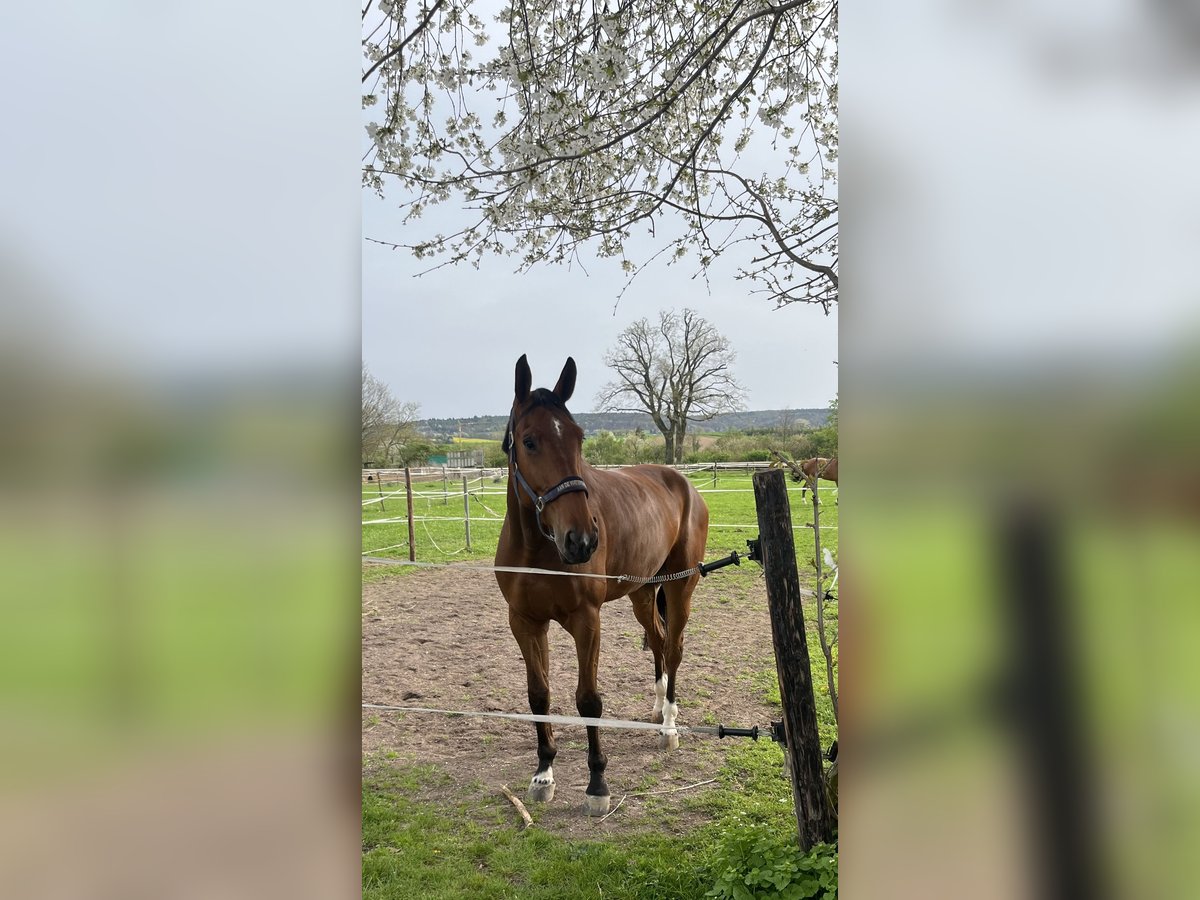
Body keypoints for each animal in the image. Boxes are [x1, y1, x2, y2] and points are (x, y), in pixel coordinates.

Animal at [492, 357, 705, 816]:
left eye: (578, 437)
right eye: (529, 441)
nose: (582, 539)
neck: (539, 546)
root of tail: (683, 484)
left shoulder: (586, 621)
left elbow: (588, 700)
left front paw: (597, 785)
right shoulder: (525, 622)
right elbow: (539, 696)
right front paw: (543, 774)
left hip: (680, 588)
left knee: (674, 647)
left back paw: (669, 725)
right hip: (643, 591)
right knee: (657, 641)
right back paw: (656, 709)